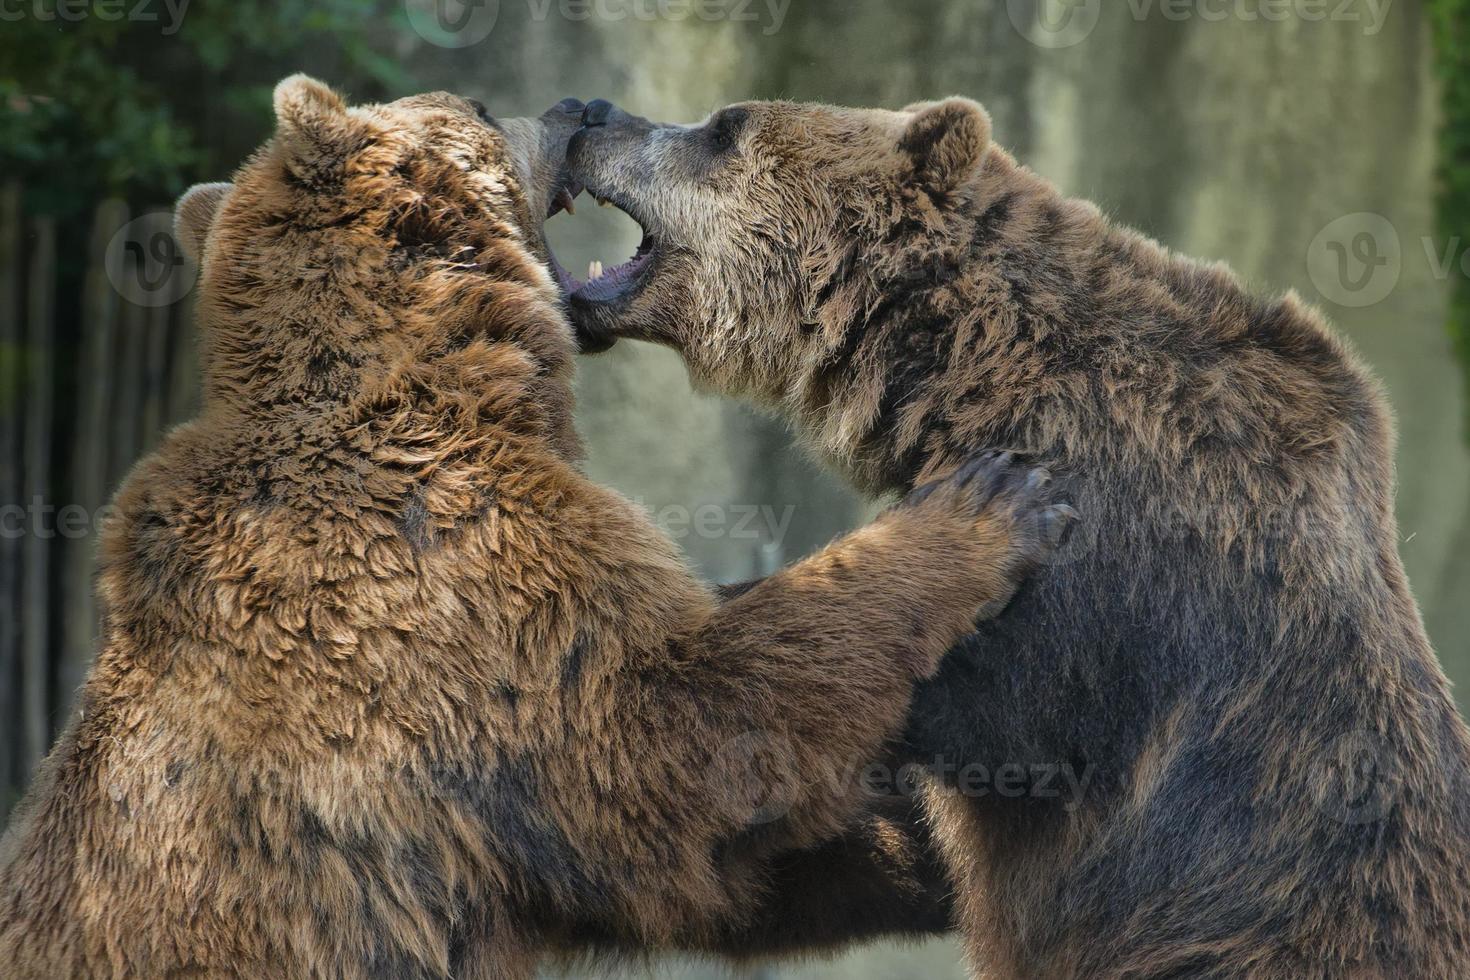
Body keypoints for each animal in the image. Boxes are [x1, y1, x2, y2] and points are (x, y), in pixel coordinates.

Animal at [0, 78, 1076, 980]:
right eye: (481, 101)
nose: (578, 102)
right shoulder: (448, 585)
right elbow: (678, 737)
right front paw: (990, 503)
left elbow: (712, 864)